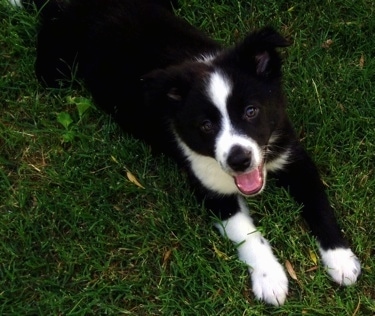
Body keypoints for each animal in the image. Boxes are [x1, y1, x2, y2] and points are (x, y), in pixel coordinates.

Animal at [13, 0, 362, 306]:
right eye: (205, 125)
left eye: (251, 111)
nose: (239, 160)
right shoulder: (210, 189)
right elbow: (247, 233)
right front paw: (270, 278)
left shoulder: (293, 155)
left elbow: (319, 205)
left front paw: (341, 259)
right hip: (54, 71)